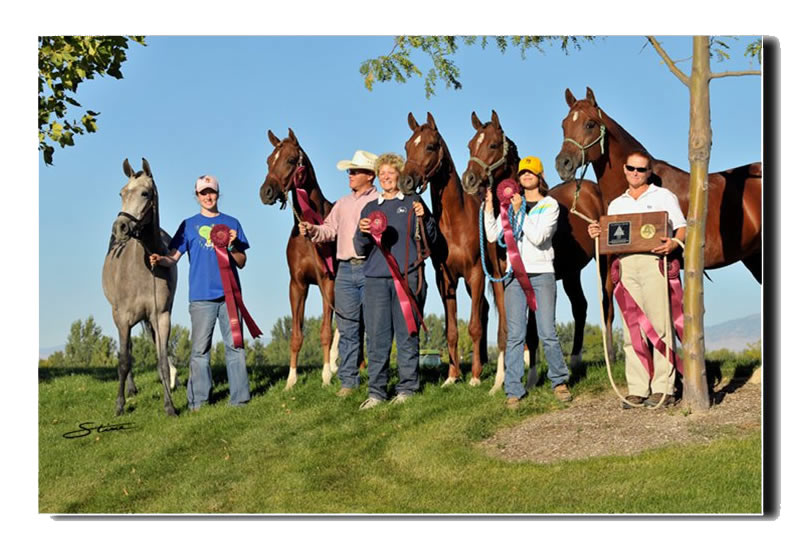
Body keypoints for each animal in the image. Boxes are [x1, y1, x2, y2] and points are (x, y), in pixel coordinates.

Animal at [102, 157, 179, 416]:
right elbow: (124, 360)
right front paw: (119, 405)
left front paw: (170, 406)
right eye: (122, 193)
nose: (120, 228)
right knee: (127, 351)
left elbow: (162, 359)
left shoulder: (161, 315)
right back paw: (131, 389)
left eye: (145, 193)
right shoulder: (122, 318)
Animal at [260, 128, 340, 392]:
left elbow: (325, 331)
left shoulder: (327, 282)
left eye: (291, 160)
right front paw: (290, 381)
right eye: (268, 160)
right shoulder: (297, 285)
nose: (265, 192)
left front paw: (326, 376)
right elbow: (296, 335)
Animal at [400, 112, 488, 388]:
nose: (405, 181)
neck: (456, 221)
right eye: (407, 146)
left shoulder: (475, 274)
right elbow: (451, 329)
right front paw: (452, 376)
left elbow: (474, 326)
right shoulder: (445, 279)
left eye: (430, 146)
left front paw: (475, 378)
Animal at [462, 111, 608, 392]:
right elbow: (507, 329)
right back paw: (575, 362)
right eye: (470, 145)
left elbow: (530, 329)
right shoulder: (501, 279)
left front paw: (525, 378)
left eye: (493, 145)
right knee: (580, 307)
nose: (469, 180)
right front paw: (501, 383)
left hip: (602, 261)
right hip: (571, 272)